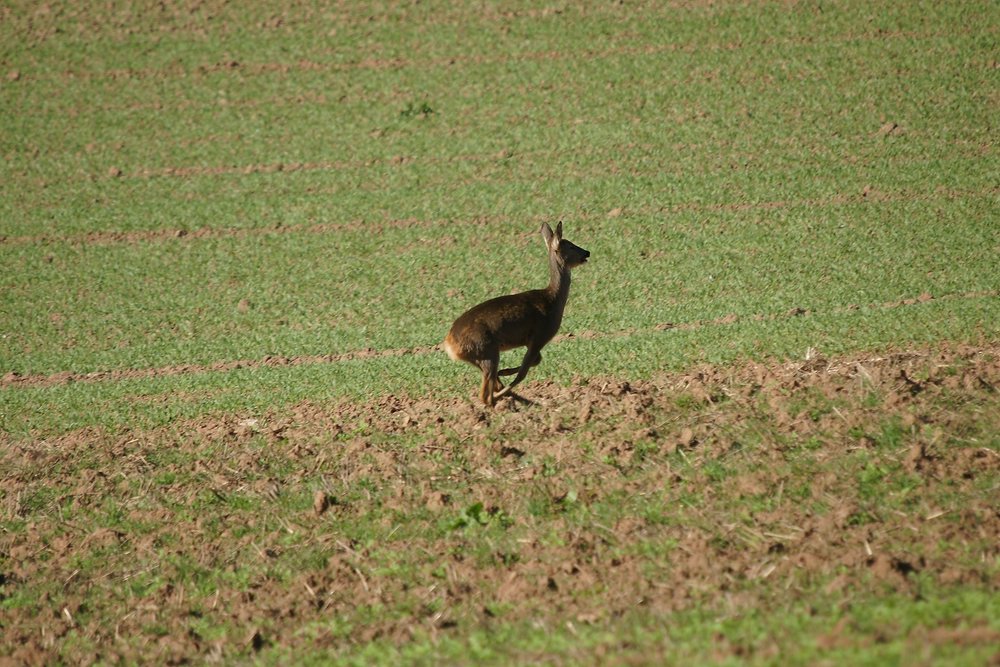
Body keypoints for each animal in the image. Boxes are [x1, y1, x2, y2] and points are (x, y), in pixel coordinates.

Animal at [443, 222, 590, 406]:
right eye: (570, 245)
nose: (587, 252)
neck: (552, 300)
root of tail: (450, 344)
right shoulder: (540, 336)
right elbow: (523, 372)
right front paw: (506, 377)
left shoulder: (529, 341)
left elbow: (536, 362)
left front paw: (505, 372)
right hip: (487, 350)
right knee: (485, 394)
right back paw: (502, 400)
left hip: (479, 356)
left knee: (491, 384)